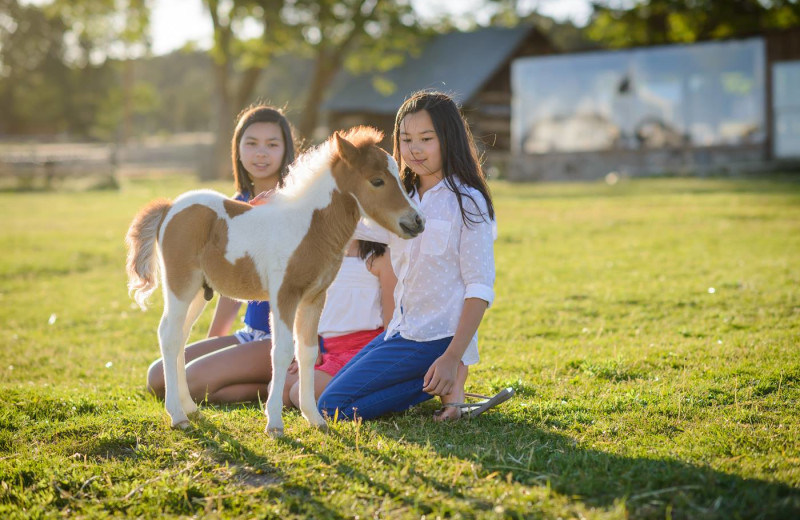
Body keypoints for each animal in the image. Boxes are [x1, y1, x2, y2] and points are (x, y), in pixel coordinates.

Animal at [125, 127, 424, 434]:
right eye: (377, 181)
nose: (416, 221)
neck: (309, 228)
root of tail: (170, 207)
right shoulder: (284, 295)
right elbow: (281, 351)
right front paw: (275, 424)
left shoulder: (315, 297)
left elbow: (307, 352)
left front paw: (314, 418)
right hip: (180, 285)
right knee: (169, 335)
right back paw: (177, 415)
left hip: (198, 291)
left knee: (180, 338)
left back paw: (191, 409)